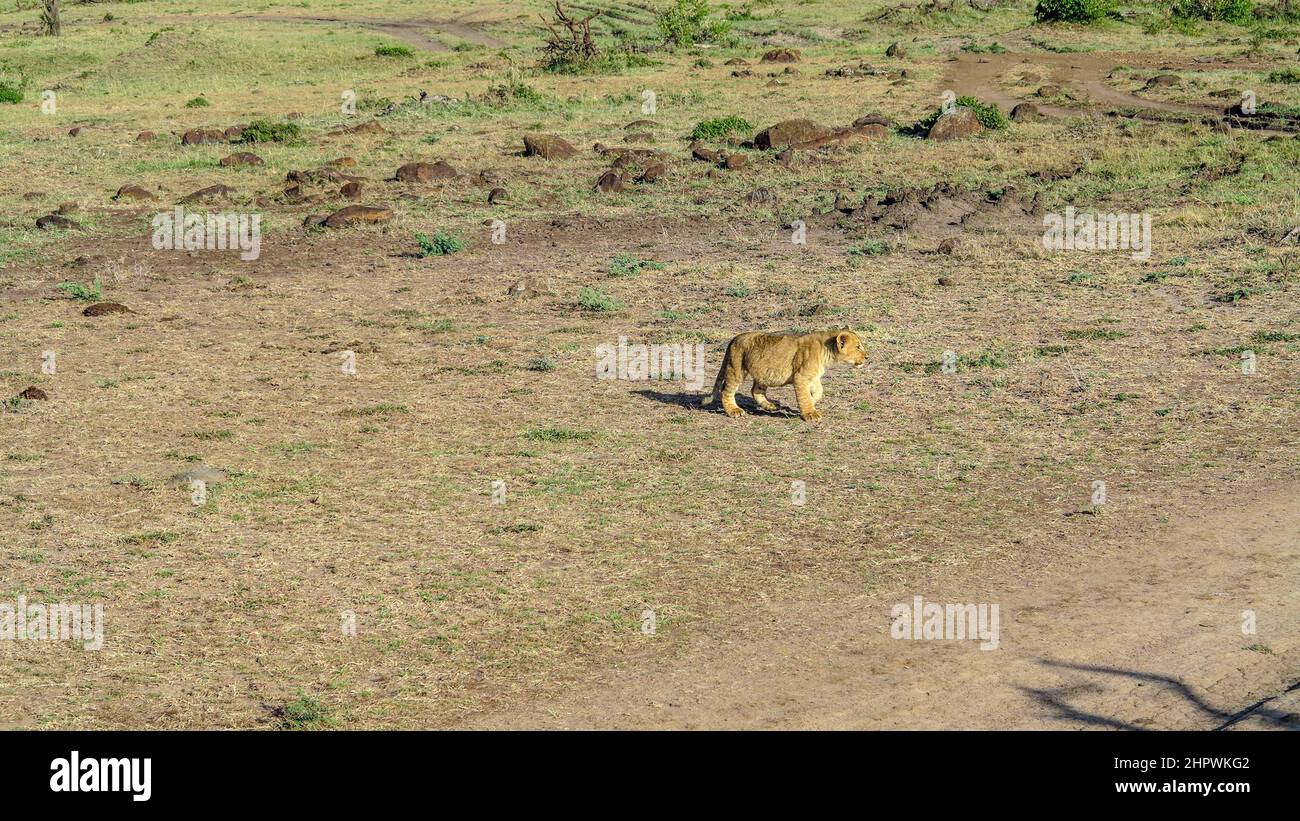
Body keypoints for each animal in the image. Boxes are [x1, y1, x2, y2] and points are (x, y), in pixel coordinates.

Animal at [701, 329, 867, 421]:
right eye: (858, 347)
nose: (867, 357)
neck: (826, 352)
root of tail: (734, 339)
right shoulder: (801, 377)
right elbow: (804, 396)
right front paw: (810, 413)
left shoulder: (813, 377)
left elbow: (819, 391)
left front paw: (812, 401)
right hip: (737, 368)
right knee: (726, 390)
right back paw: (734, 411)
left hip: (763, 373)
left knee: (755, 390)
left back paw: (769, 406)